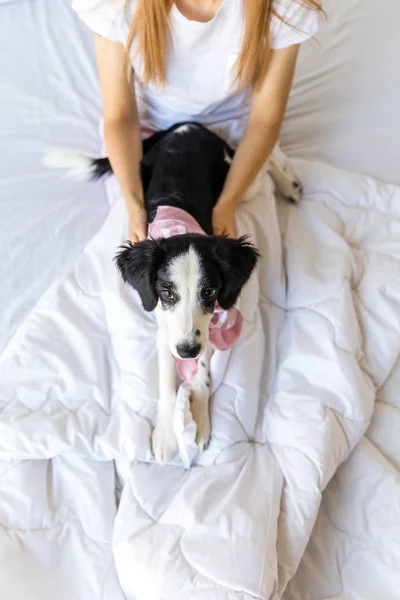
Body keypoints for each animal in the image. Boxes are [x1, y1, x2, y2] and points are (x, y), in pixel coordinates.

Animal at [43, 122, 300, 464]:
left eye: (210, 291)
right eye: (166, 293)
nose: (187, 351)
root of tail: (186, 126)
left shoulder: (204, 328)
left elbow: (201, 371)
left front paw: (200, 417)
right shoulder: (166, 329)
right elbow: (167, 382)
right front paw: (166, 432)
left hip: (238, 180)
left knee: (266, 161)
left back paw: (289, 185)